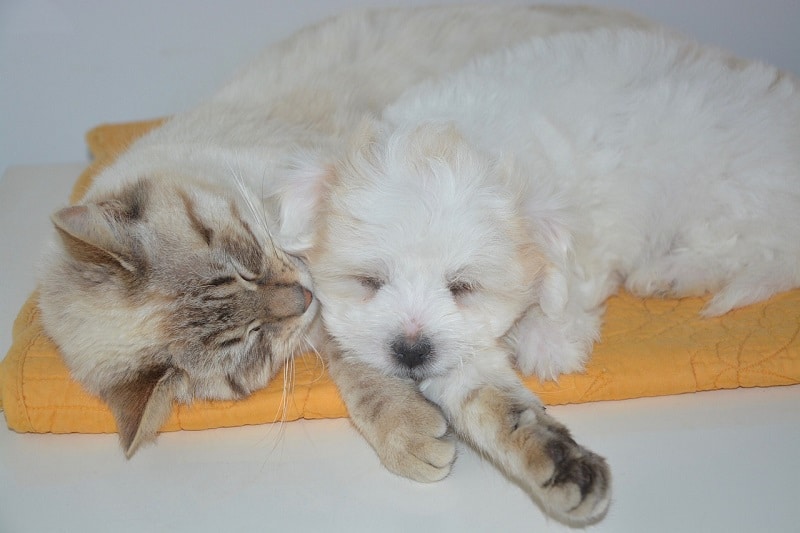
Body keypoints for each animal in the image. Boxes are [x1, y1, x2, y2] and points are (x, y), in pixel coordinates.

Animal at [34, 3, 652, 470]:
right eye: (251, 342)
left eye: (239, 259)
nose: (300, 296)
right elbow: (362, 351)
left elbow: (359, 362)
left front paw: (409, 434)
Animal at [302, 29, 800, 524]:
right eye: (369, 281)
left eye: (462, 287)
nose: (410, 351)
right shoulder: (463, 344)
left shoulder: (591, 226)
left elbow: (567, 282)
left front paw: (548, 338)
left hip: (727, 190)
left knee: (747, 246)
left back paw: (669, 274)